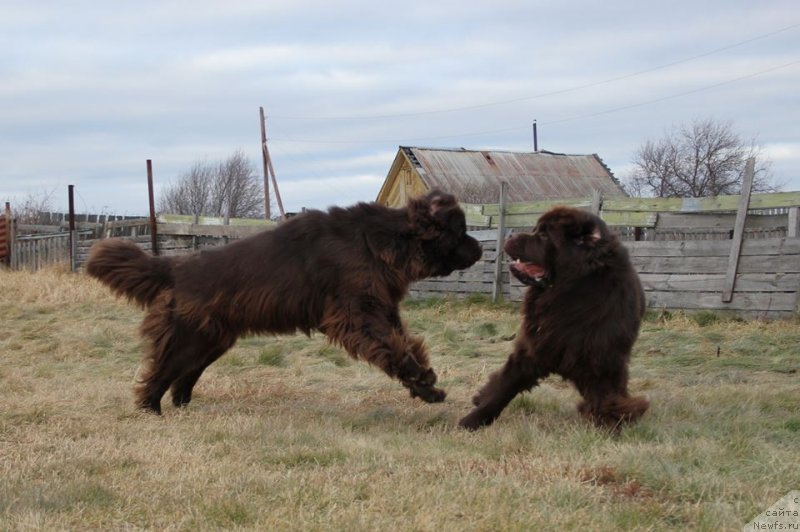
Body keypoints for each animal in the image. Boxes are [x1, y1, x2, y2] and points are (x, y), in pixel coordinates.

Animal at [86, 189, 482, 414]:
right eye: (460, 231)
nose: (480, 247)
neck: (385, 242)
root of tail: (175, 266)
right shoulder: (357, 316)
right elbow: (395, 350)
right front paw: (424, 383)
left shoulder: (382, 309)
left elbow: (406, 344)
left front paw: (426, 385)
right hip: (190, 338)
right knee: (161, 372)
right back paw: (150, 410)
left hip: (212, 341)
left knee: (183, 376)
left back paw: (183, 407)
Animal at [456, 207, 648, 432]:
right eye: (535, 229)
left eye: (544, 236)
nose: (510, 236)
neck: (568, 293)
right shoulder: (533, 348)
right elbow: (504, 386)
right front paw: (474, 419)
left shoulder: (603, 360)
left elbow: (607, 398)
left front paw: (610, 423)